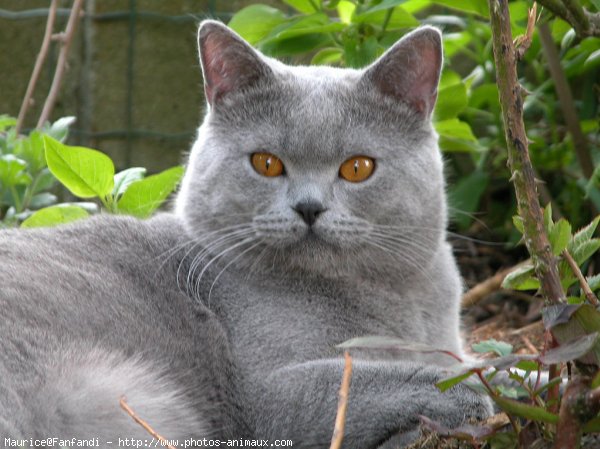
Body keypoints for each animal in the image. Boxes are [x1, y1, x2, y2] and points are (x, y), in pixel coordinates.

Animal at [0, 20, 488, 448]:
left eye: (358, 168)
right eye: (266, 163)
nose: (308, 207)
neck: (403, 297)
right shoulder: (266, 397)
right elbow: (383, 377)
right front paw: (478, 389)